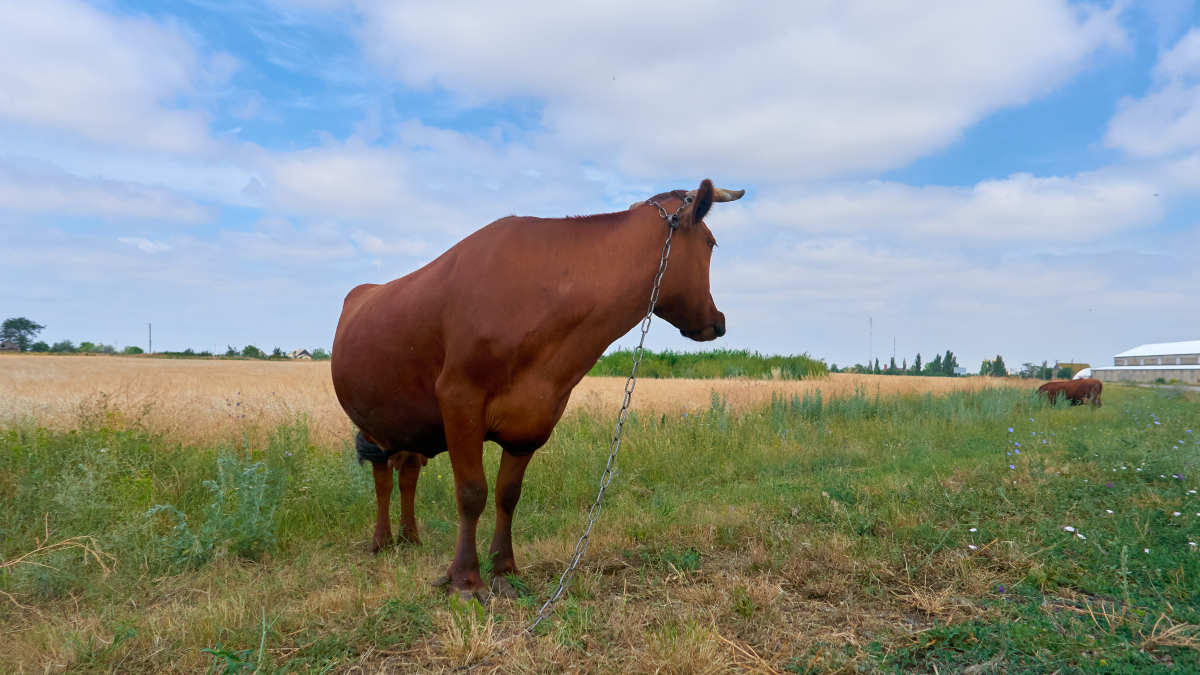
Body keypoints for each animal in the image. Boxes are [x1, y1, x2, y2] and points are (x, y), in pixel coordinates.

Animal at [331, 178, 739, 598]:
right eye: (711, 243)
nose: (719, 320)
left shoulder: (534, 417)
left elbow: (507, 494)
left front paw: (504, 569)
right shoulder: (459, 399)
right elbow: (471, 493)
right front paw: (465, 579)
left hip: (407, 422)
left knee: (408, 469)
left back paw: (411, 538)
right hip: (370, 421)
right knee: (382, 476)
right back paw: (382, 541)